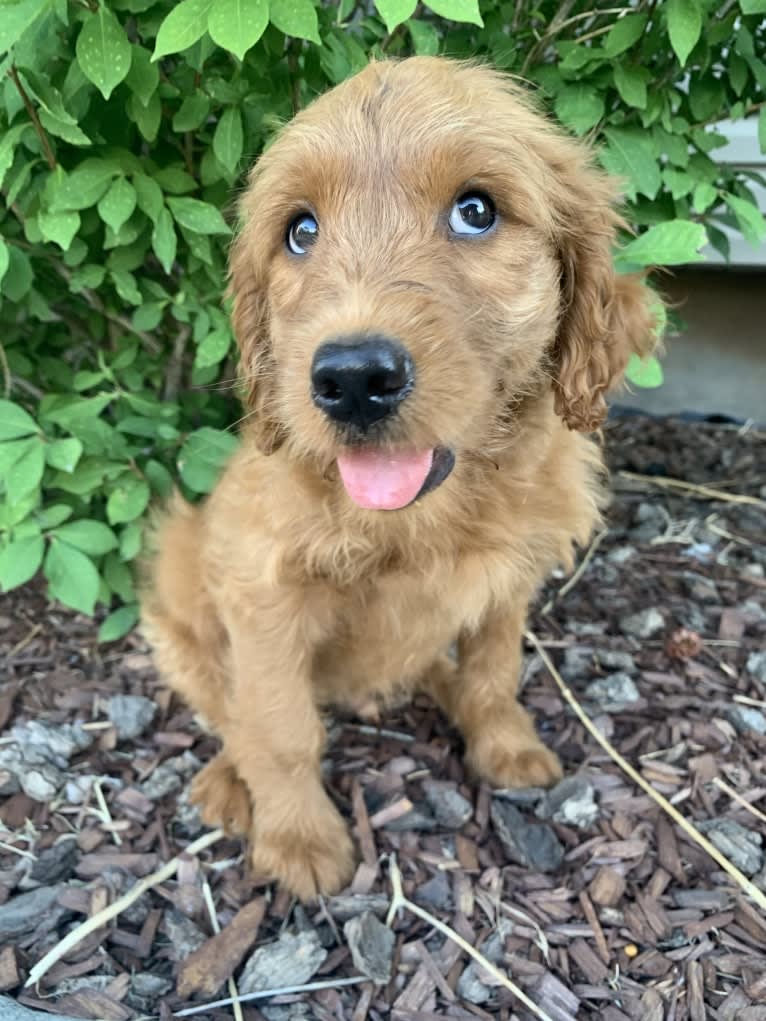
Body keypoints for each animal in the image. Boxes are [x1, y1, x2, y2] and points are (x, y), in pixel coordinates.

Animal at [142, 57, 653, 902]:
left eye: (476, 211)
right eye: (300, 231)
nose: (351, 378)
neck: (428, 513)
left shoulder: (508, 576)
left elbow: (493, 669)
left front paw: (505, 744)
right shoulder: (262, 592)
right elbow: (278, 726)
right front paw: (299, 837)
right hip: (179, 584)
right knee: (228, 710)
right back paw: (227, 784)